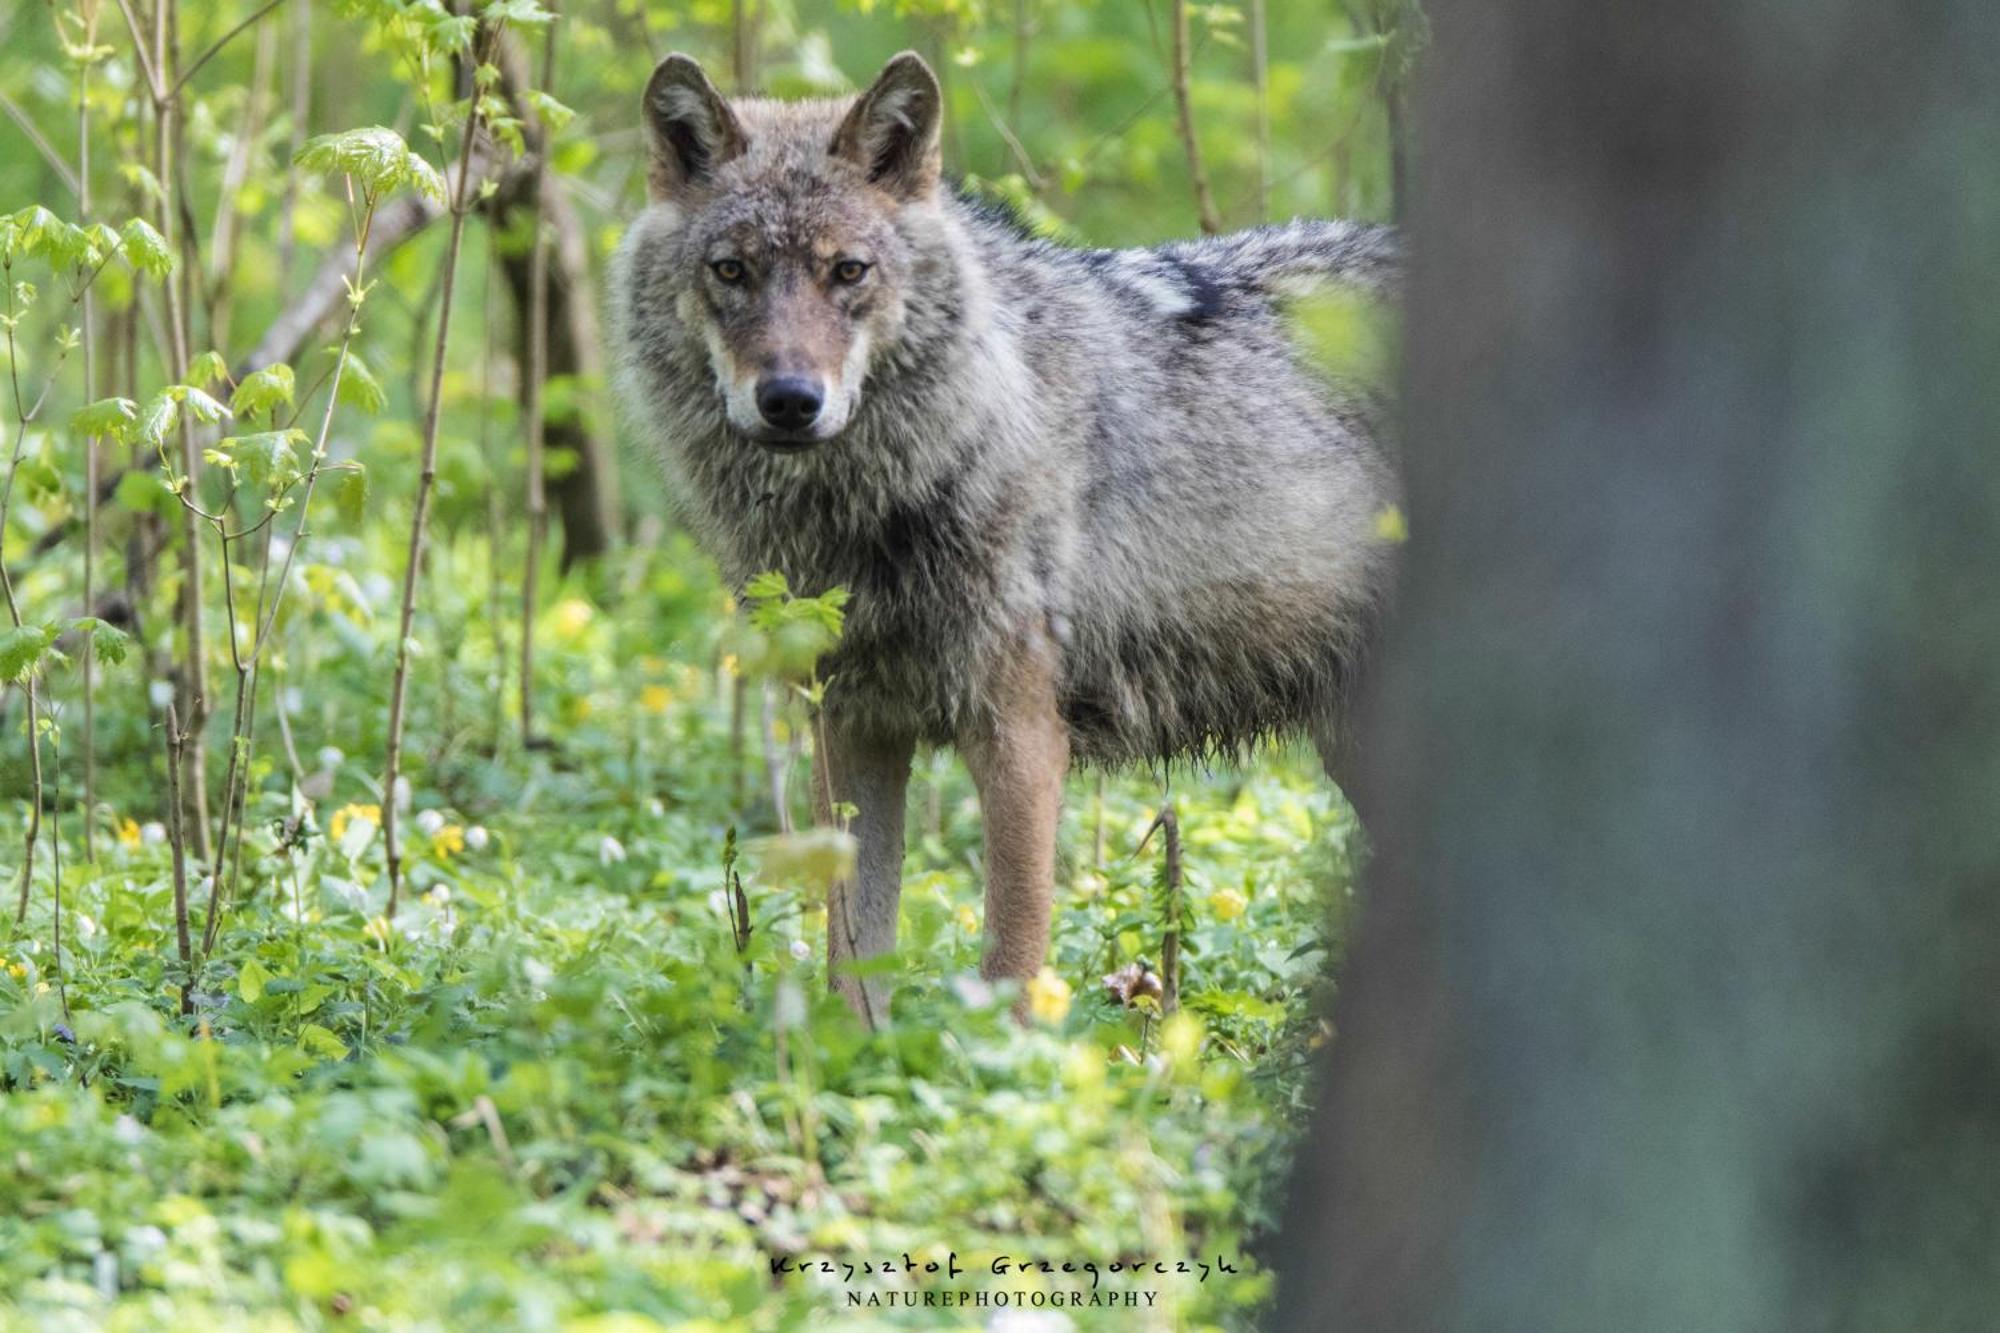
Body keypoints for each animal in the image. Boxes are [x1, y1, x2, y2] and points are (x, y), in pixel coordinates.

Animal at [612, 49, 1408, 1016]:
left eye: (849, 272)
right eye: (731, 271)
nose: (791, 401)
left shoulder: (1021, 733)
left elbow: (1013, 963)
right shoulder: (850, 729)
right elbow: (852, 957)